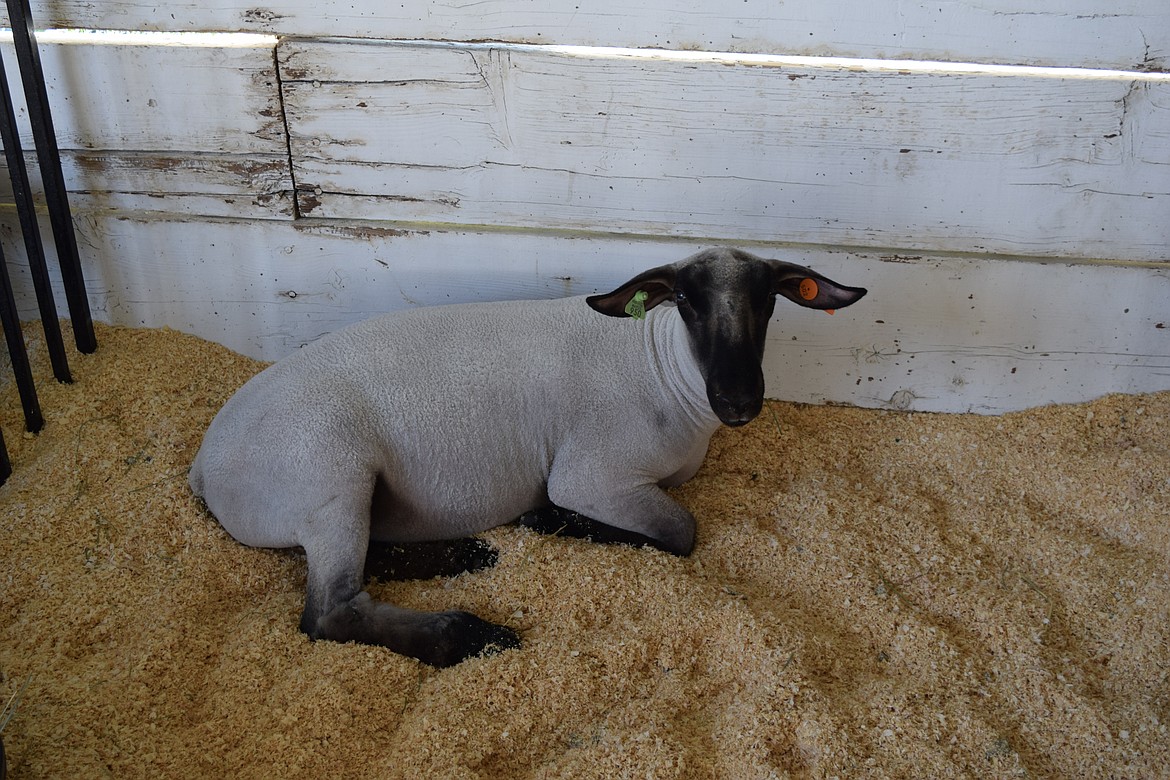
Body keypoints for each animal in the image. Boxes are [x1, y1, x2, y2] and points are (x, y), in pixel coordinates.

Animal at [189, 246, 870, 668]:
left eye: (770, 301)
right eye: (686, 301)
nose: (739, 401)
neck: (662, 368)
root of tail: (202, 467)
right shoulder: (591, 475)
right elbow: (680, 532)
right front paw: (547, 519)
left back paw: (467, 554)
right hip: (331, 474)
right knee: (330, 611)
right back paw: (471, 634)